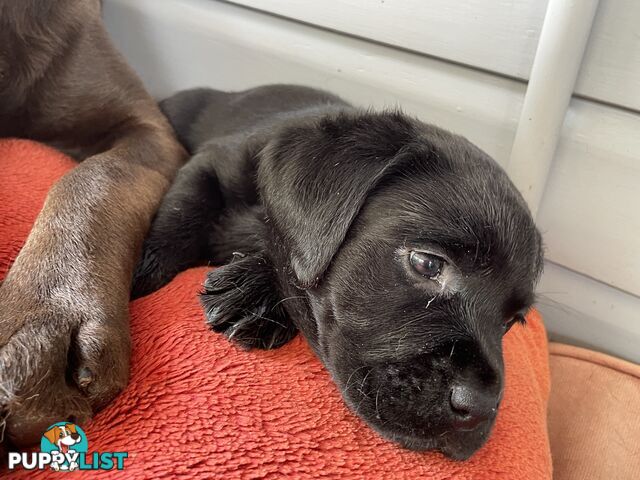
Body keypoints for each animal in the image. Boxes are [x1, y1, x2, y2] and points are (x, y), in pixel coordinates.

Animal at [132, 84, 544, 460]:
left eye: (510, 322)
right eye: (427, 263)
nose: (478, 410)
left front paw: (256, 291)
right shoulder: (212, 163)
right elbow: (179, 219)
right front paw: (137, 278)